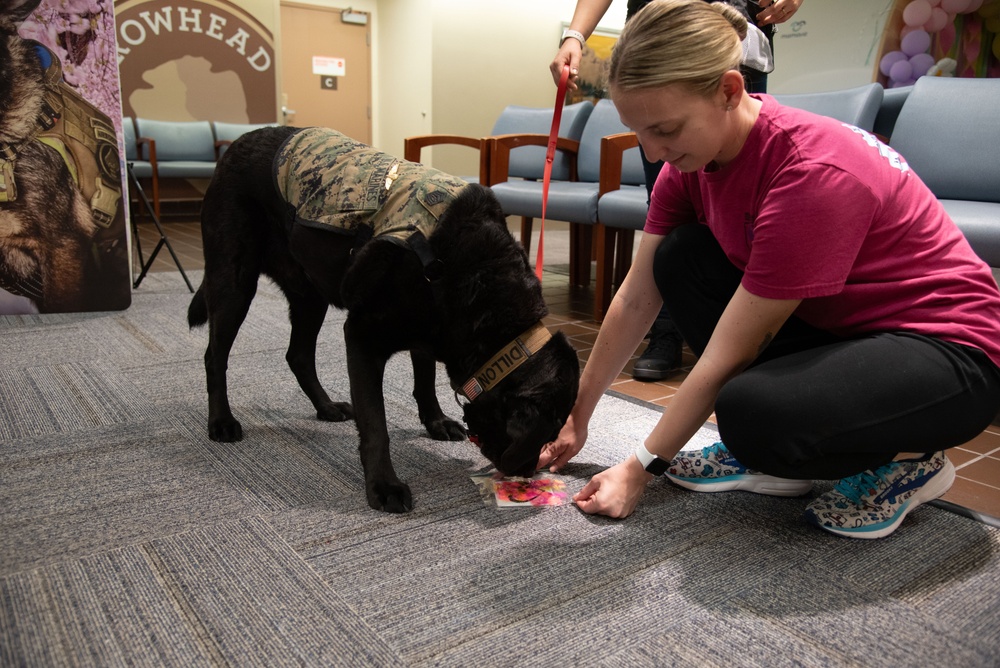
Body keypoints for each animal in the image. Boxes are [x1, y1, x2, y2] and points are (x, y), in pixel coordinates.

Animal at [188, 125, 584, 512]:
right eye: (545, 436)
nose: (528, 471)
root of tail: (236, 143)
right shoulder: (363, 335)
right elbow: (375, 422)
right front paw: (384, 485)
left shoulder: (432, 330)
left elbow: (424, 380)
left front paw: (436, 422)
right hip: (234, 279)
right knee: (214, 356)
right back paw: (222, 422)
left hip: (309, 292)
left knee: (297, 355)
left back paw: (326, 407)